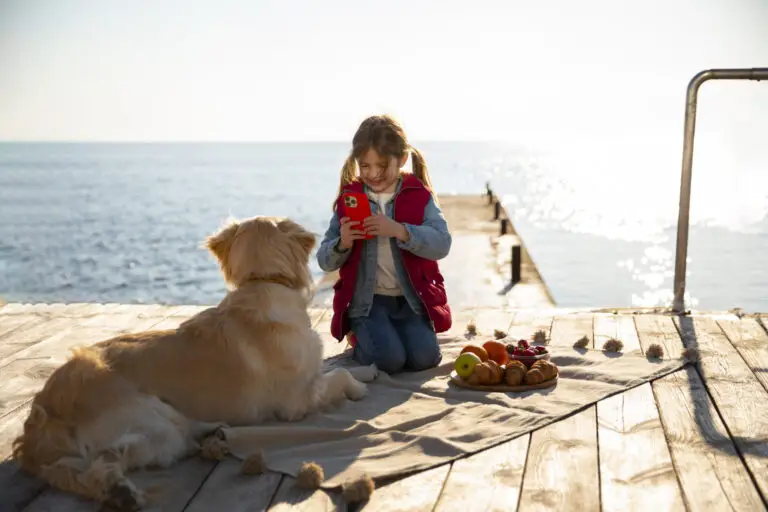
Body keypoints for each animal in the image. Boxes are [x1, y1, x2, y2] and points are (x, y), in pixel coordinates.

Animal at [9, 215, 376, 508]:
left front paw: (369, 370)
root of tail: (43, 411)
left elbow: (336, 366)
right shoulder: (296, 401)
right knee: (103, 463)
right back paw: (121, 492)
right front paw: (358, 388)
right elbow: (338, 375)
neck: (262, 283)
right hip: (157, 424)